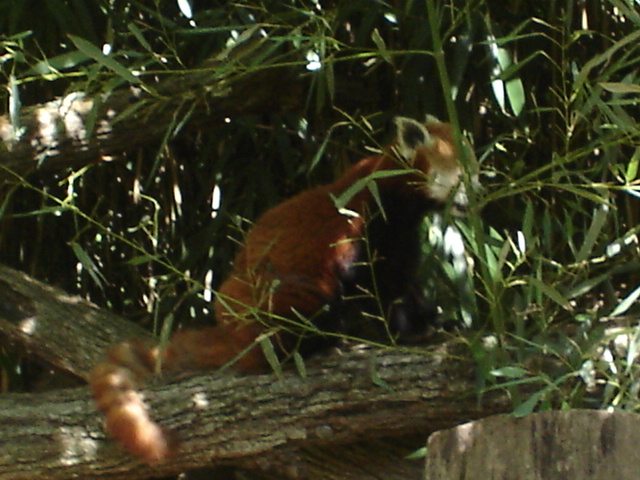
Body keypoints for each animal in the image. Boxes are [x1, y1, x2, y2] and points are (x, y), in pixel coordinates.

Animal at [90, 115, 472, 462]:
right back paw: (319, 343)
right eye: (462, 176)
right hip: (281, 296)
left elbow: (405, 281)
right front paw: (410, 330)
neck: (392, 186)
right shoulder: (369, 226)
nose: (477, 195)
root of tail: (236, 334)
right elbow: (382, 286)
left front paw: (433, 320)